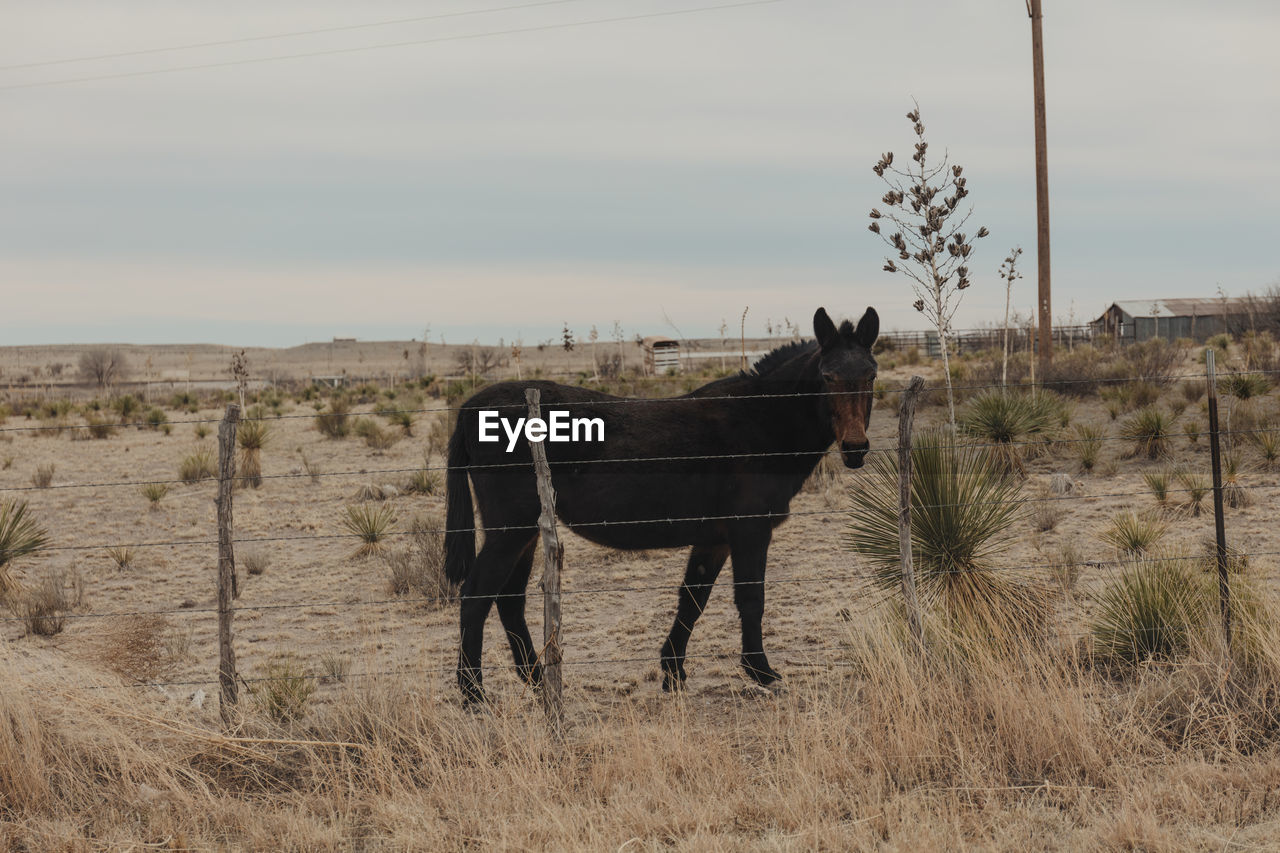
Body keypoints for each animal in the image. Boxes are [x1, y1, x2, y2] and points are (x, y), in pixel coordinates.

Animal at [442, 303, 880, 696]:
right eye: (827, 376)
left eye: (871, 374)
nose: (855, 449)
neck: (759, 421)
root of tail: (469, 408)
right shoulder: (750, 531)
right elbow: (751, 598)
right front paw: (761, 672)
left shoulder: (715, 538)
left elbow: (693, 599)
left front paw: (673, 671)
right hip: (510, 530)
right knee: (476, 596)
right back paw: (472, 693)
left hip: (528, 531)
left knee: (509, 600)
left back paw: (534, 680)